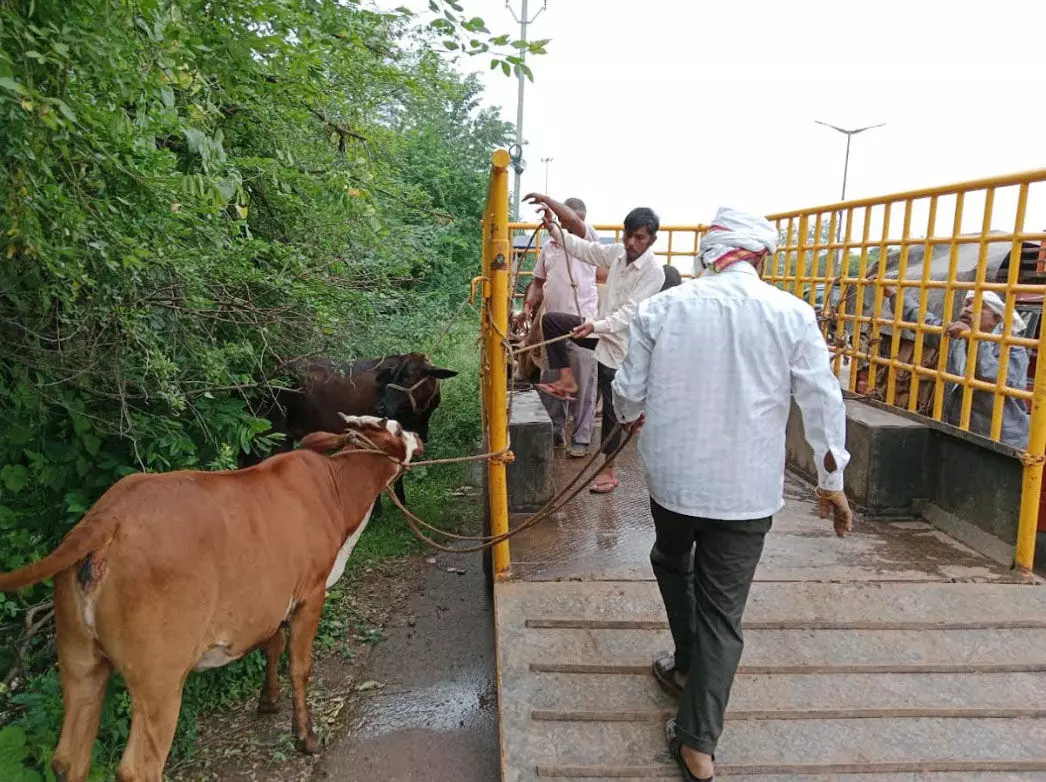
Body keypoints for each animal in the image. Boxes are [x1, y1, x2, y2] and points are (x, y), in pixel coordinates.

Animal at [0, 416, 420, 781]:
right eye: (397, 426)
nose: (418, 434)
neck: (336, 489)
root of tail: (107, 518)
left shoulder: (268, 597)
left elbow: (272, 643)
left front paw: (268, 701)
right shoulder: (310, 593)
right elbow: (299, 666)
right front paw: (306, 739)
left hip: (78, 657)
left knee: (68, 760)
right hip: (160, 679)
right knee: (138, 768)